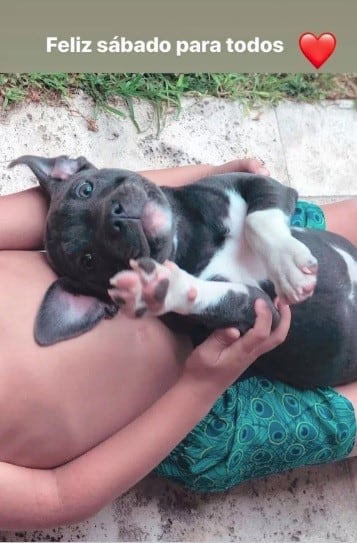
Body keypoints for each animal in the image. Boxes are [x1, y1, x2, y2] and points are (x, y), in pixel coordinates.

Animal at [9, 155, 356, 388]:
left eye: (85, 188)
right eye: (88, 260)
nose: (115, 218)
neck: (188, 238)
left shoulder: (259, 183)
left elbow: (257, 219)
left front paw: (287, 265)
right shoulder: (261, 312)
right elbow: (214, 294)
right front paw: (162, 285)